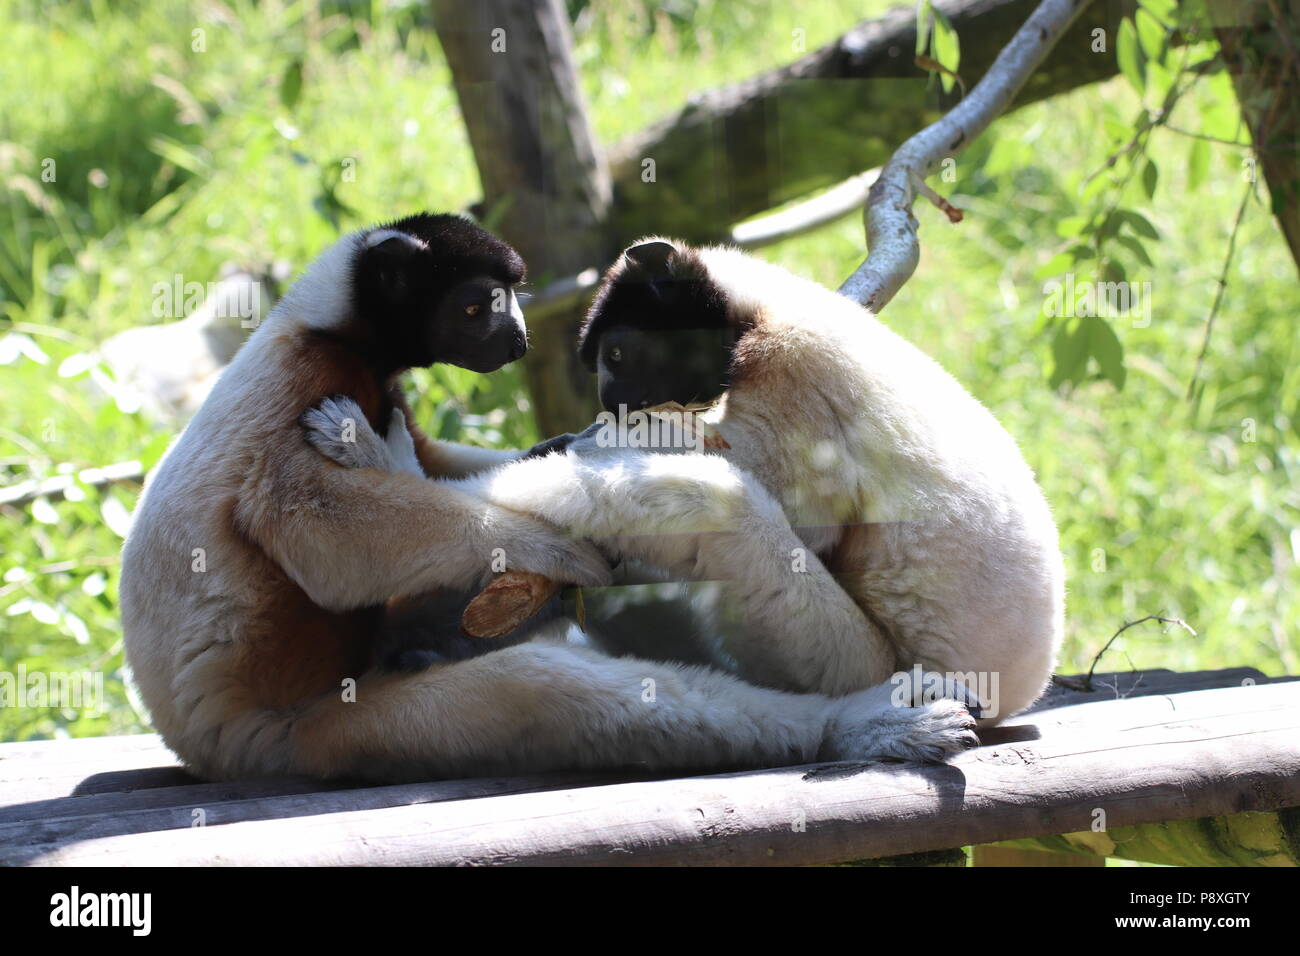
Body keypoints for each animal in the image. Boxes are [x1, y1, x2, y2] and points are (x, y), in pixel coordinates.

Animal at [122, 214, 981, 784]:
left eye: (509, 299)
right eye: (478, 304)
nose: (518, 337)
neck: (331, 331)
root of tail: (210, 746)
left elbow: (431, 463)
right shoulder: (307, 383)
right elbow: (318, 534)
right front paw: (566, 550)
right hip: (308, 733)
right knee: (537, 695)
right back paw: (851, 725)